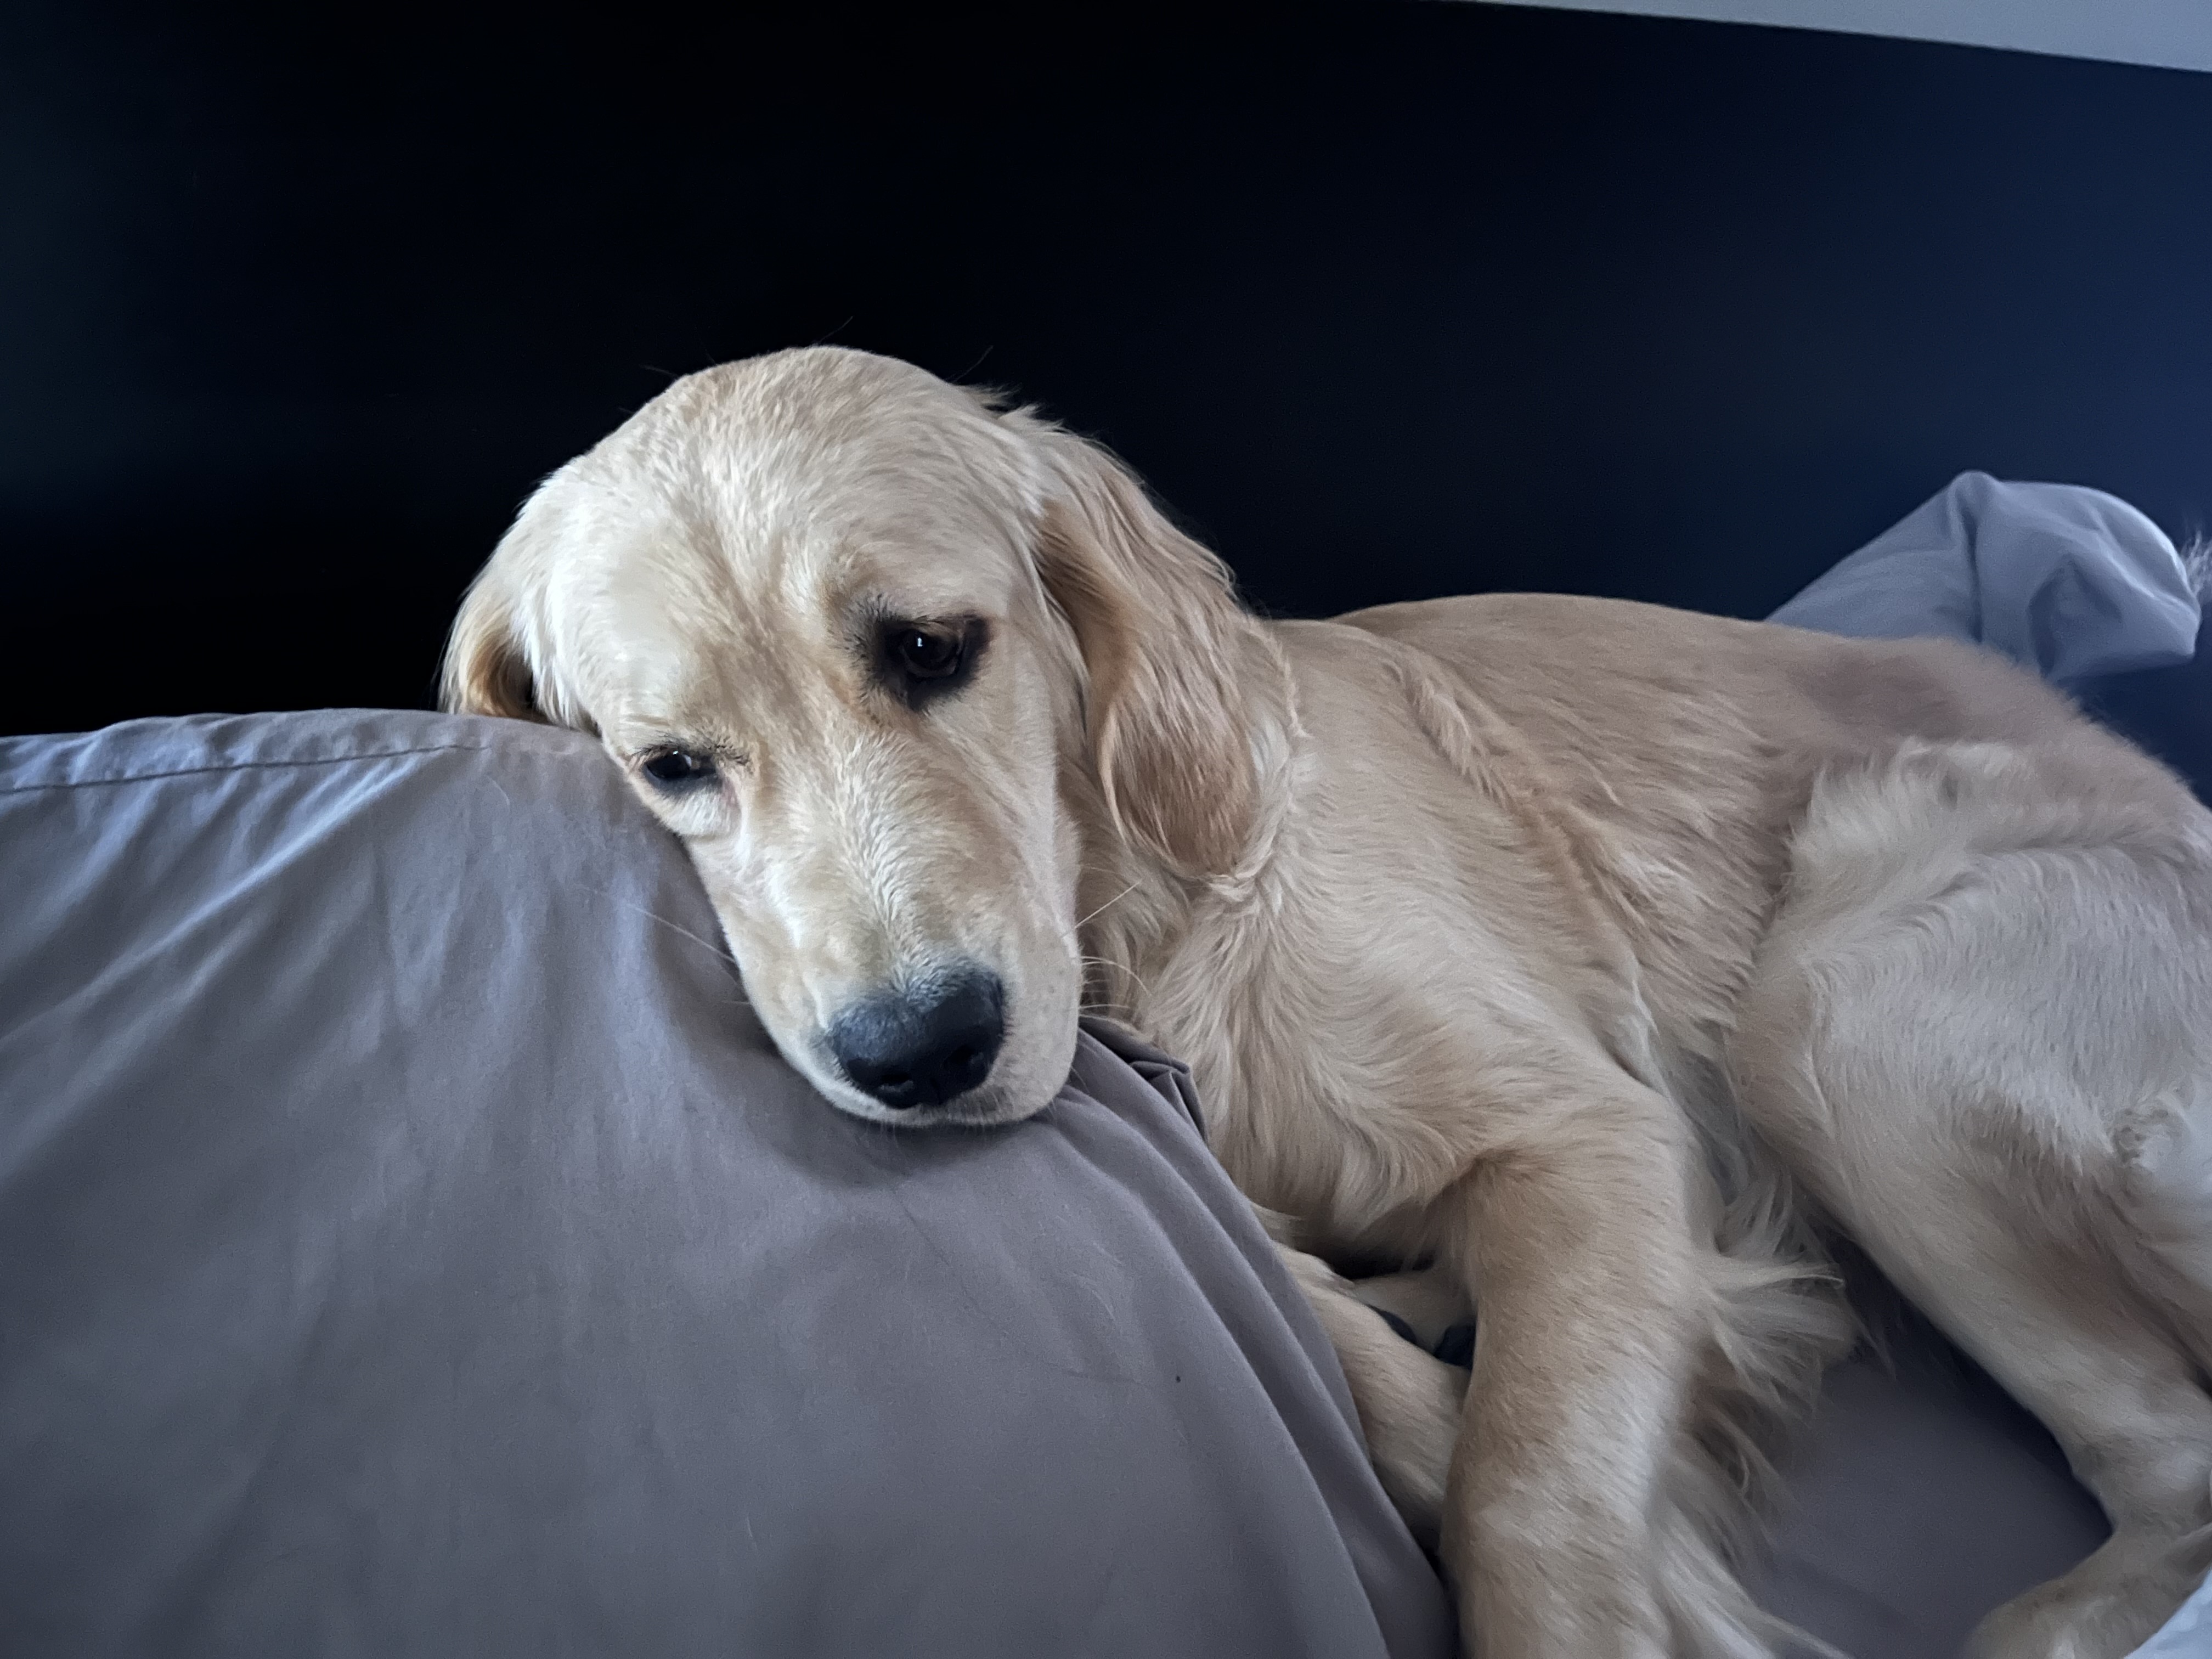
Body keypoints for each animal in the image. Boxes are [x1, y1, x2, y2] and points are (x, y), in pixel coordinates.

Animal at [444, 346, 2212, 1657]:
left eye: (933, 649)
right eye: (671, 766)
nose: (919, 1054)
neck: (1137, 926)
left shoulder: (1599, 1141)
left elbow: (1527, 1484)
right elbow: (1337, 1342)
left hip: (1836, 1003)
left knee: (2175, 1460)